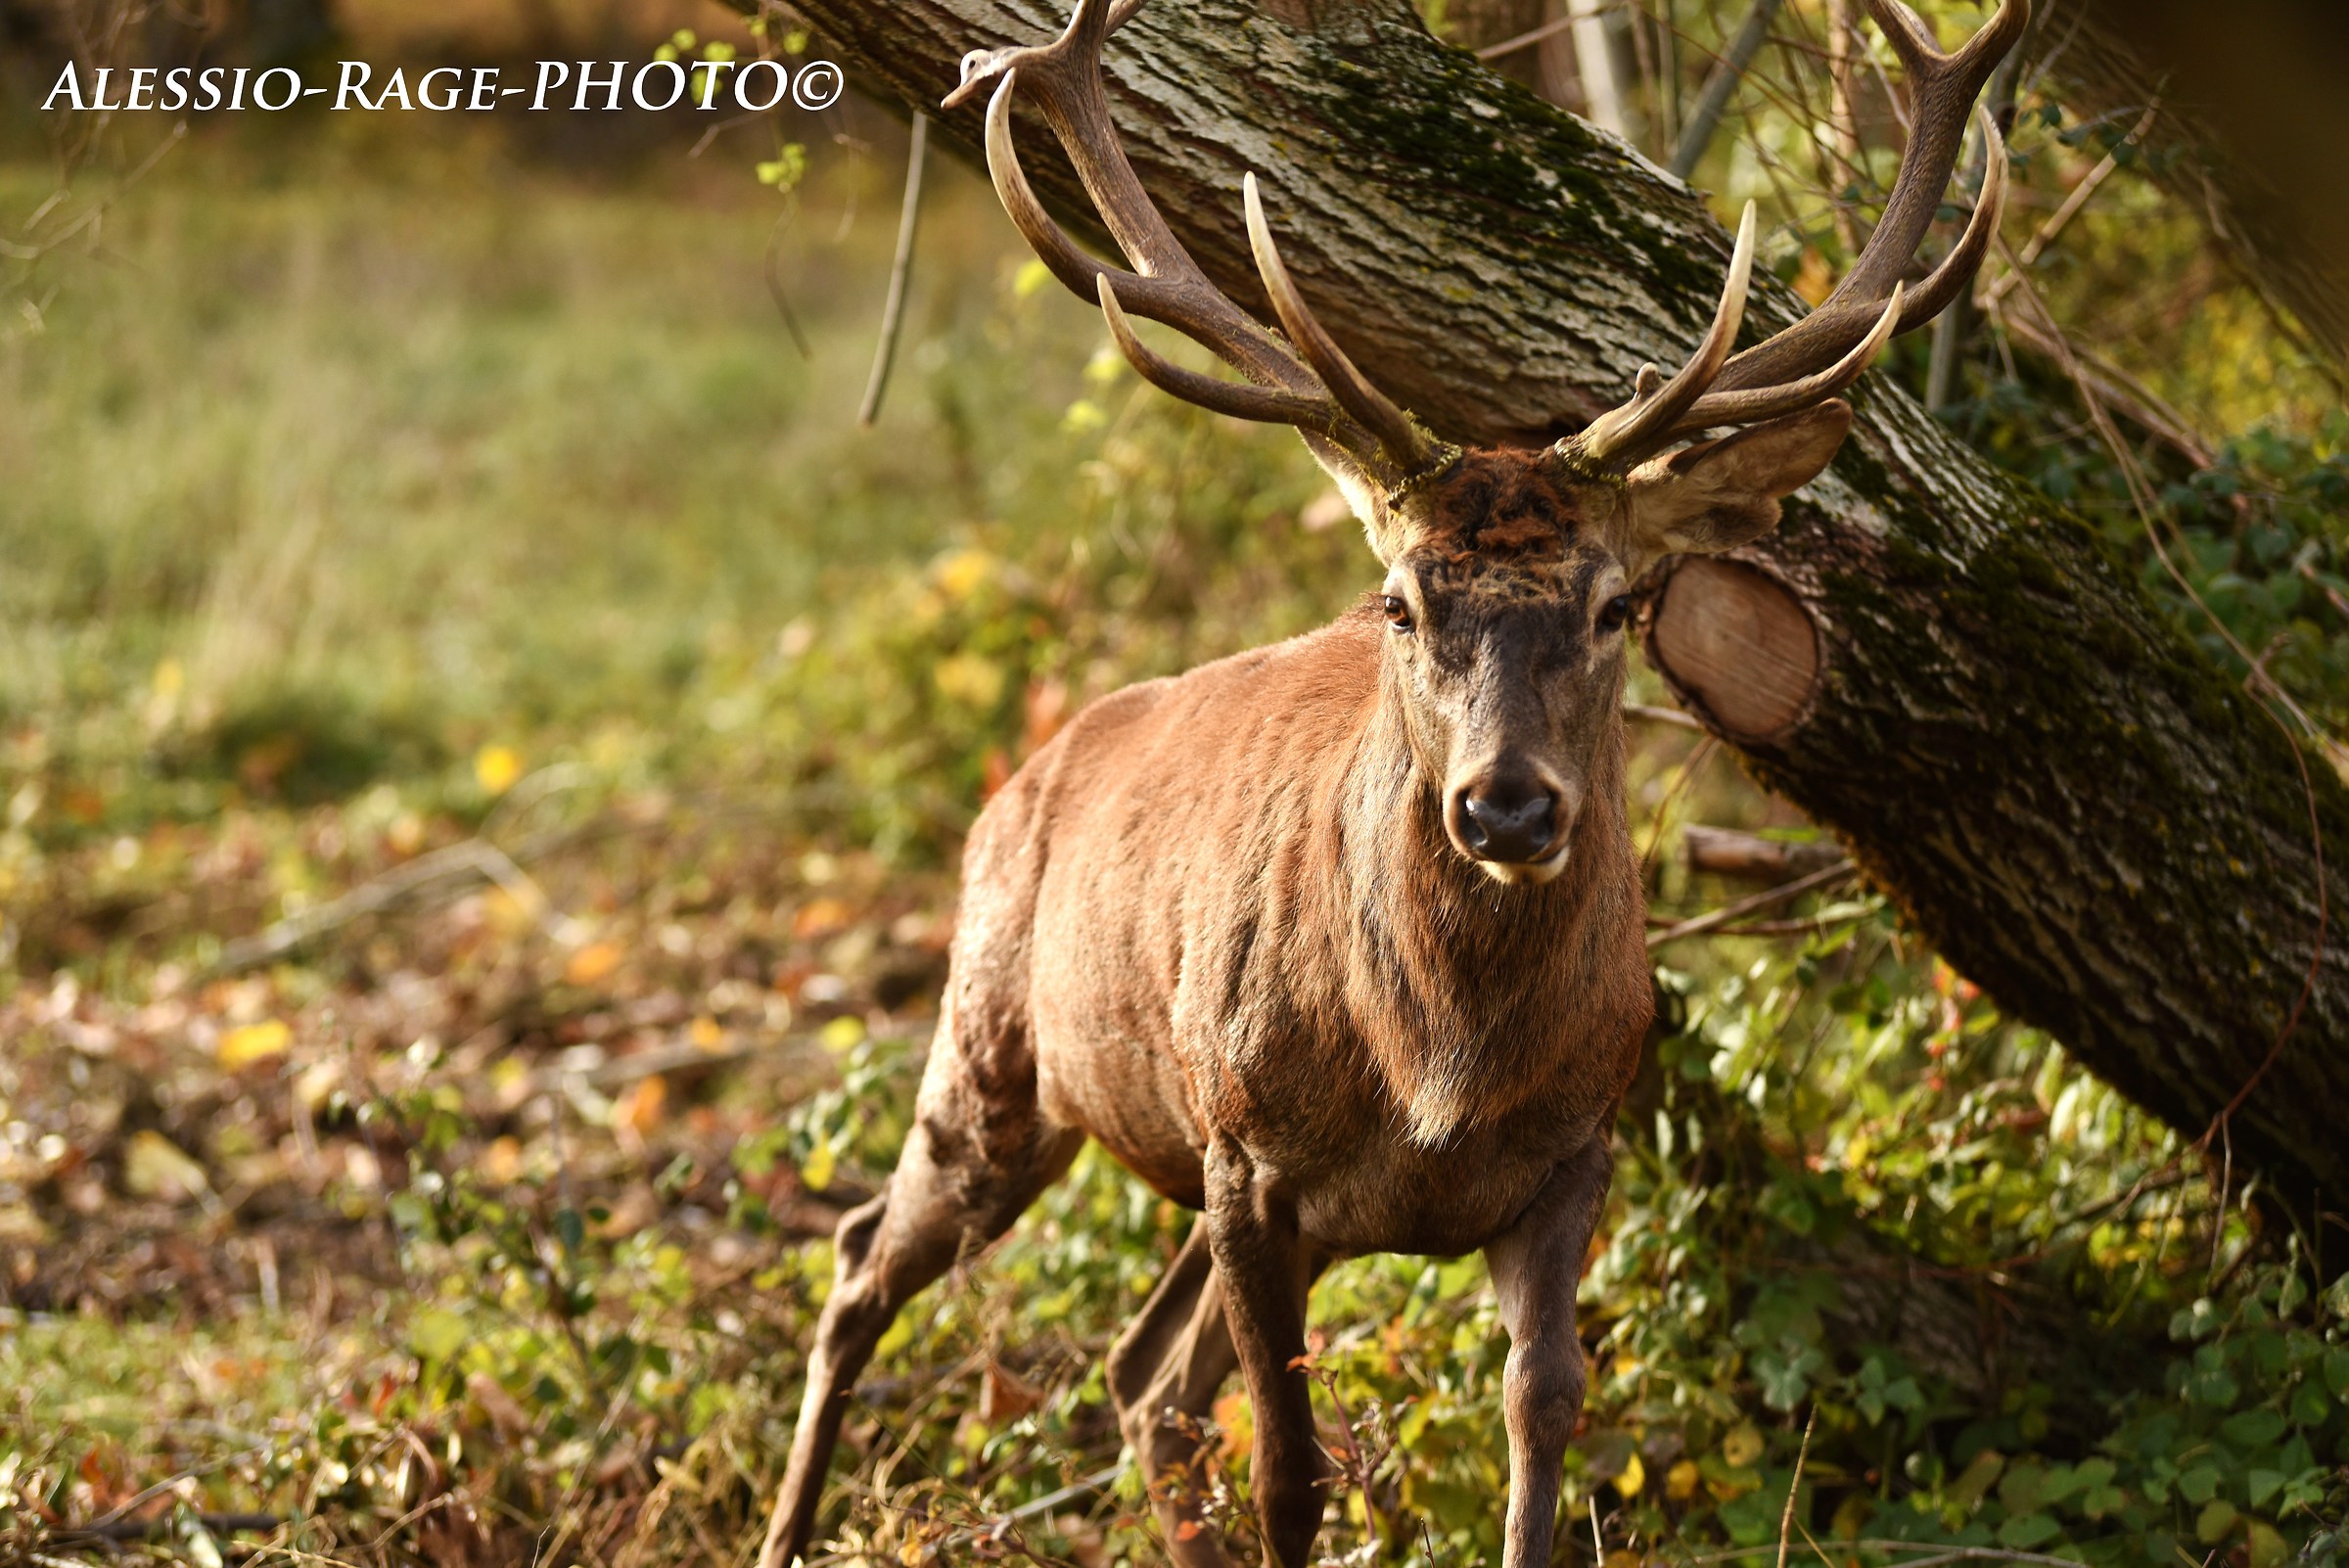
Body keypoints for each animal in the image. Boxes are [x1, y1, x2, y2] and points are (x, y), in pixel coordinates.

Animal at [759, 2, 2020, 1563]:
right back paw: (785, 1522)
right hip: (999, 1050)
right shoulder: (1250, 1159)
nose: (1508, 805)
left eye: (1617, 604)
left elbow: (1542, 1417)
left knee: (1138, 1377)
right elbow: (1290, 1469)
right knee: (864, 1262)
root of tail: (1022, 780)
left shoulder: (1576, 1147)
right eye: (1401, 603)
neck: (1440, 1071)